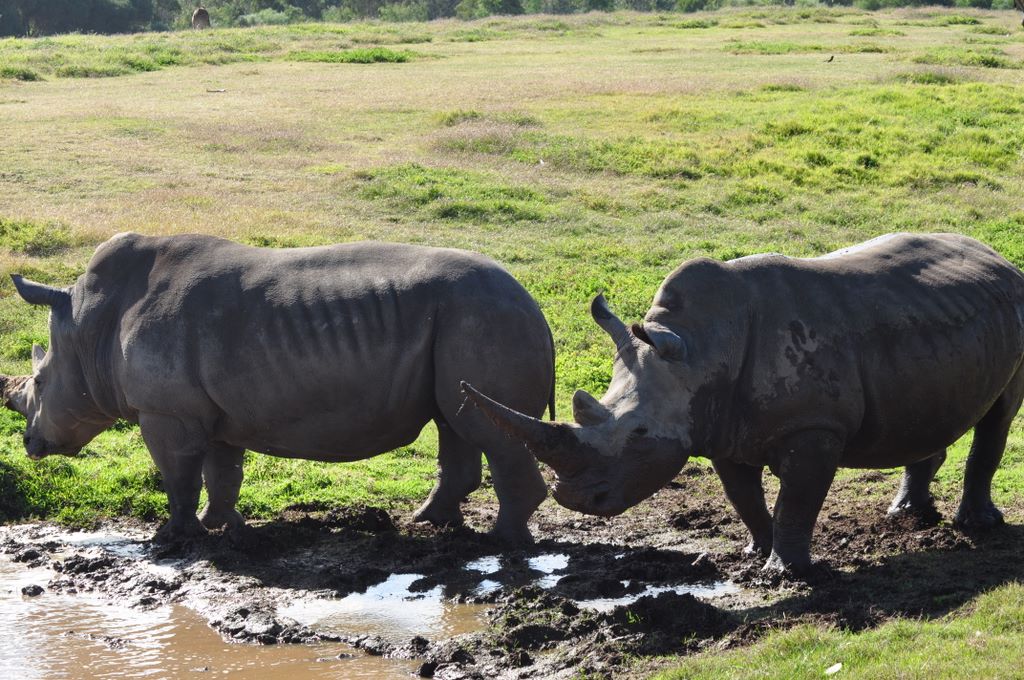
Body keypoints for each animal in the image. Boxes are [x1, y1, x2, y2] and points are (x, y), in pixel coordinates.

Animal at [1, 233, 554, 543]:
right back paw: (430, 523)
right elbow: (221, 472)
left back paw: (502, 542)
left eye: (40, 384)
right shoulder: (208, 414)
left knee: (486, 429)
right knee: (455, 423)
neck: (88, 327)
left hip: (482, 318)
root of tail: (535, 306)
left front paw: (172, 537)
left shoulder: (167, 413)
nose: (30, 444)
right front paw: (223, 526)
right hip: (467, 320)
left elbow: (178, 475)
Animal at [463, 233, 1024, 571]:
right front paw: (755, 552)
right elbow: (744, 497)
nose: (574, 500)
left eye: (639, 434)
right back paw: (906, 515)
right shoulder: (721, 427)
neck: (701, 346)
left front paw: (786, 572)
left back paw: (976, 526)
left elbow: (796, 500)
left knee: (999, 415)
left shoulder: (814, 427)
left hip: (1013, 305)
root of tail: (998, 257)